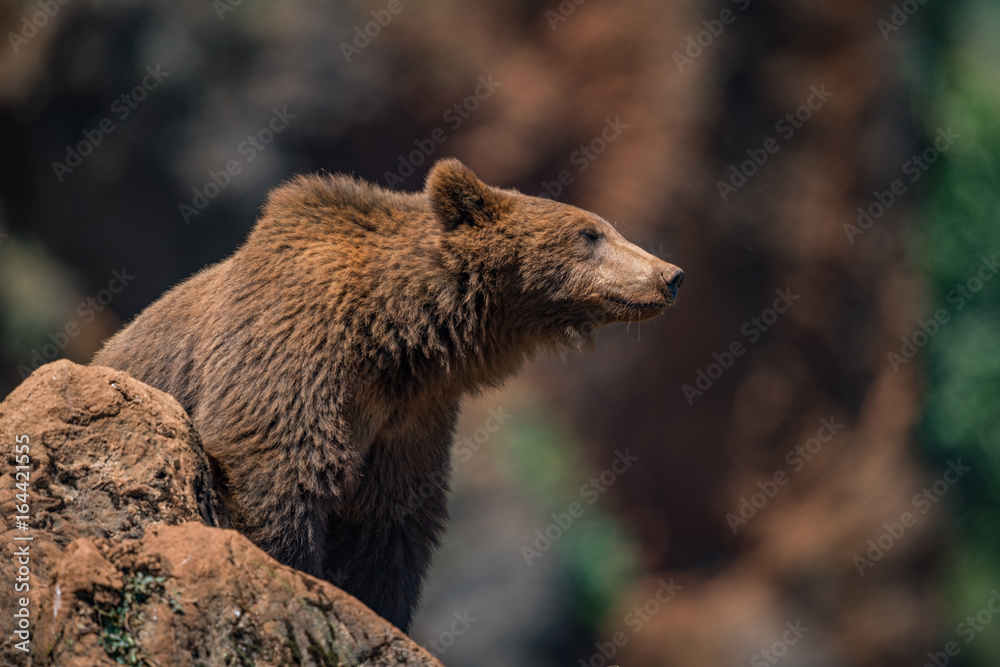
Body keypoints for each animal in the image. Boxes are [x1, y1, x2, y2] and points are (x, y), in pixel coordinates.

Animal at [92, 158, 683, 631]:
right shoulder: (293, 351)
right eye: (590, 233)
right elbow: (278, 467)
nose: (670, 274)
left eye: (607, 228)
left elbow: (391, 519)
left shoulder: (410, 418)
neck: (394, 335)